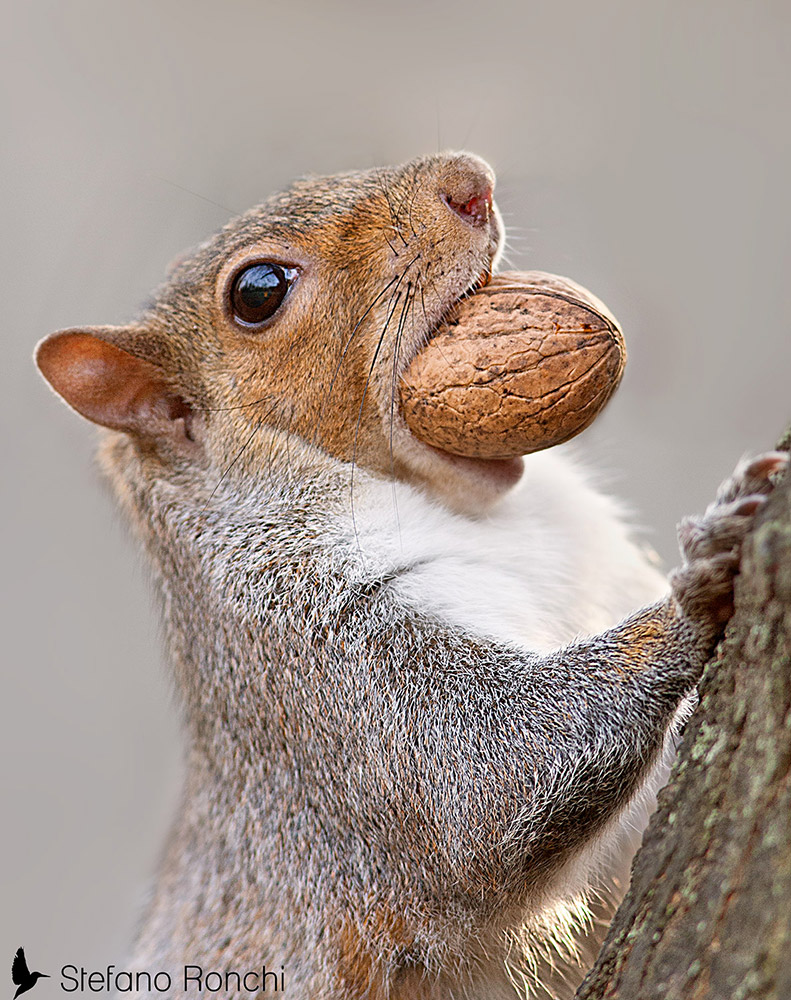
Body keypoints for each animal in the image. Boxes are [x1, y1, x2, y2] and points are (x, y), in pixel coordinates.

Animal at [35, 152, 786, 999]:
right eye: (257, 291)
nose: (468, 179)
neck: (490, 515)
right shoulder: (316, 666)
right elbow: (494, 765)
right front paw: (700, 580)